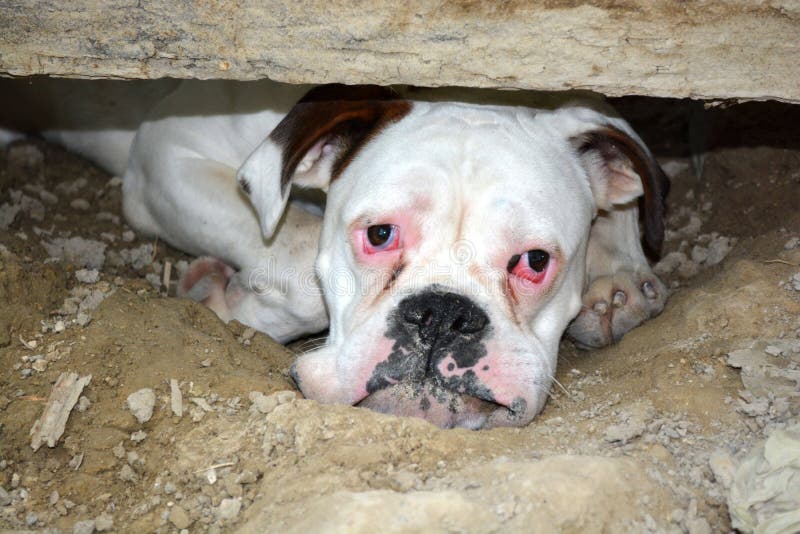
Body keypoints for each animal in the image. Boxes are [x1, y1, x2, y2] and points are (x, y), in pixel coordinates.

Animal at [1, 80, 668, 432]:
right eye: (379, 235)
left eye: (533, 261)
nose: (445, 316)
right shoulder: (165, 156)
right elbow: (296, 253)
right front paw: (228, 300)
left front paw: (615, 279)